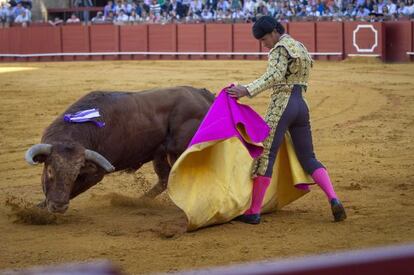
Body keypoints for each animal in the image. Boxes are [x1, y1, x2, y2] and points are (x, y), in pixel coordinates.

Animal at [24, 87, 215, 215]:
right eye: (50, 170)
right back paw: (138, 202)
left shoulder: (96, 174)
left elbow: (75, 189)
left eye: (76, 173)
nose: (59, 207)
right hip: (160, 154)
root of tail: (204, 95)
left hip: (179, 151)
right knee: (164, 179)